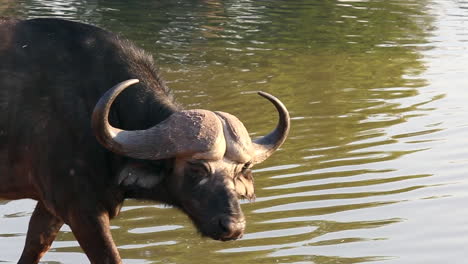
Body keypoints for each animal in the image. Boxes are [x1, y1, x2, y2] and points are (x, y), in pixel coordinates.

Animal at [0, 17, 288, 262]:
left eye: (240, 170)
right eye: (196, 168)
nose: (233, 227)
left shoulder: (52, 207)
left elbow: (35, 245)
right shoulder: (80, 210)